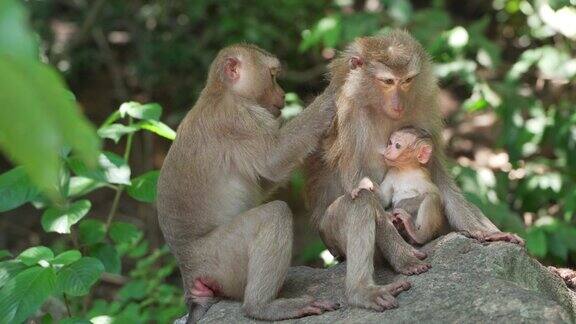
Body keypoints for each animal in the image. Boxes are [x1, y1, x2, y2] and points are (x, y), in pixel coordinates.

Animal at [155, 43, 340, 322]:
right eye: (273, 75)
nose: (282, 94)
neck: (222, 92)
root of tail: (188, 273)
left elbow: (264, 177)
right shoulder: (238, 119)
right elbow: (272, 160)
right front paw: (331, 95)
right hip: (219, 260)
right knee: (274, 214)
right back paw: (262, 307)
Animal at [308, 29, 524, 312]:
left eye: (407, 80)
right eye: (388, 81)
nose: (399, 104)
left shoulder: (425, 104)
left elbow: (438, 176)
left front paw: (487, 232)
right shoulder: (348, 115)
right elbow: (358, 183)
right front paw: (405, 260)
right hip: (330, 232)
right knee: (360, 202)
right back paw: (363, 292)